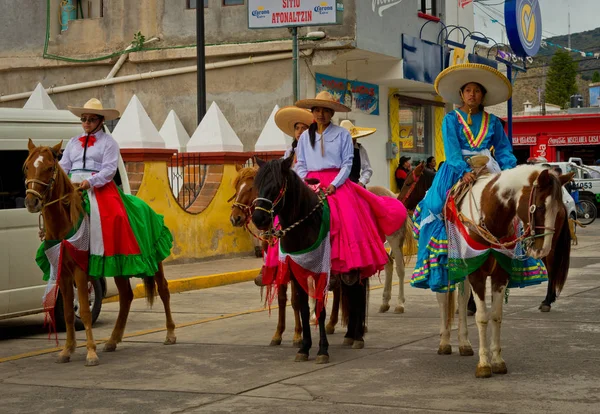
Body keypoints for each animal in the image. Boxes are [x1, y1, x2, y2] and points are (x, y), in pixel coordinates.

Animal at [25, 141, 176, 368]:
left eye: (50, 168)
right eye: (26, 167)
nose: (31, 202)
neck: (65, 224)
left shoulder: (79, 271)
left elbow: (84, 311)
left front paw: (90, 352)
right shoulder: (63, 273)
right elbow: (68, 313)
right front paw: (67, 350)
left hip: (155, 259)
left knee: (164, 290)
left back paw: (170, 333)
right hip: (120, 266)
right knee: (126, 296)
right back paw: (113, 340)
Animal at [227, 163, 302, 348]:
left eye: (251, 188)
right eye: (236, 187)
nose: (235, 218)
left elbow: (296, 300)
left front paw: (298, 335)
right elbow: (282, 299)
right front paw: (278, 334)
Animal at [438, 165, 576, 378]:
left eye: (557, 208)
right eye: (540, 207)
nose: (543, 249)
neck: (489, 216)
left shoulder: (500, 275)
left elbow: (496, 315)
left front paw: (497, 361)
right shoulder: (477, 274)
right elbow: (482, 317)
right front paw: (484, 364)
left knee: (461, 297)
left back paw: (464, 343)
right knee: (445, 298)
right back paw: (445, 342)